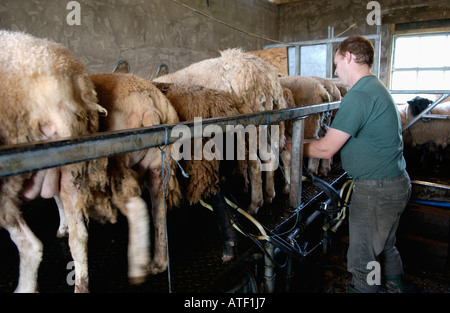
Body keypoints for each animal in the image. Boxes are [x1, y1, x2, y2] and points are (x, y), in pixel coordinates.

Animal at [89, 73, 182, 276]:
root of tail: (148, 106)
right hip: (159, 164)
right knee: (159, 212)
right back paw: (158, 263)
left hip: (117, 166)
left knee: (136, 208)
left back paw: (138, 266)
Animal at [154, 48, 288, 214]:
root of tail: (265, 79)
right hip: (270, 126)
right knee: (271, 156)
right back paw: (270, 194)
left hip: (250, 128)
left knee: (255, 164)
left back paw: (254, 204)